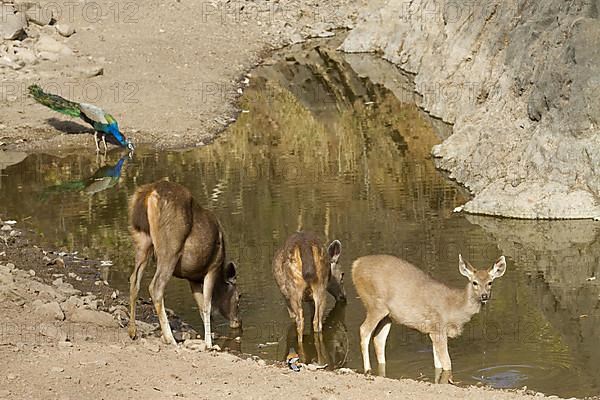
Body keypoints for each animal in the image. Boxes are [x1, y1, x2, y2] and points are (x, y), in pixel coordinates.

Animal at [127, 180, 240, 346]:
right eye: (238, 298)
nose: (238, 322)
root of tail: (150, 194)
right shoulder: (212, 267)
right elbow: (207, 305)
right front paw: (209, 344)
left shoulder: (192, 278)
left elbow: (201, 307)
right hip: (170, 248)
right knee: (156, 286)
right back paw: (170, 338)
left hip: (142, 240)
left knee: (134, 280)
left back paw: (133, 331)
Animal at [352, 253, 506, 382]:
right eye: (474, 282)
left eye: (490, 282)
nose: (484, 296)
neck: (454, 308)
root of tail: (355, 265)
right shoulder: (438, 327)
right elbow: (447, 363)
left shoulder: (433, 331)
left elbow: (438, 364)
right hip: (375, 305)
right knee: (364, 330)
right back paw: (367, 369)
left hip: (388, 315)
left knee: (379, 338)